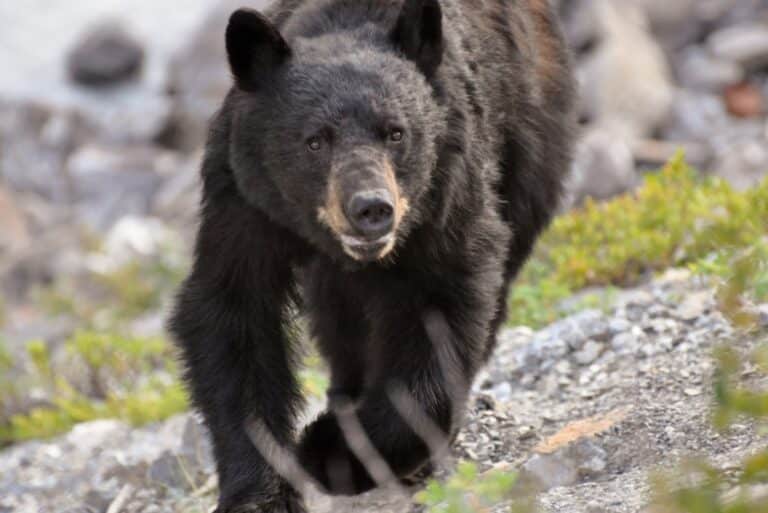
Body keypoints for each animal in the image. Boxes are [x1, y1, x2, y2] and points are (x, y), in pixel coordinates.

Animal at [168, 0, 575, 511]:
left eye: (396, 133)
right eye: (314, 140)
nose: (371, 208)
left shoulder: (445, 194)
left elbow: (443, 313)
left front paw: (336, 450)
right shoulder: (244, 200)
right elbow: (232, 316)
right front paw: (260, 493)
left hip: (527, 137)